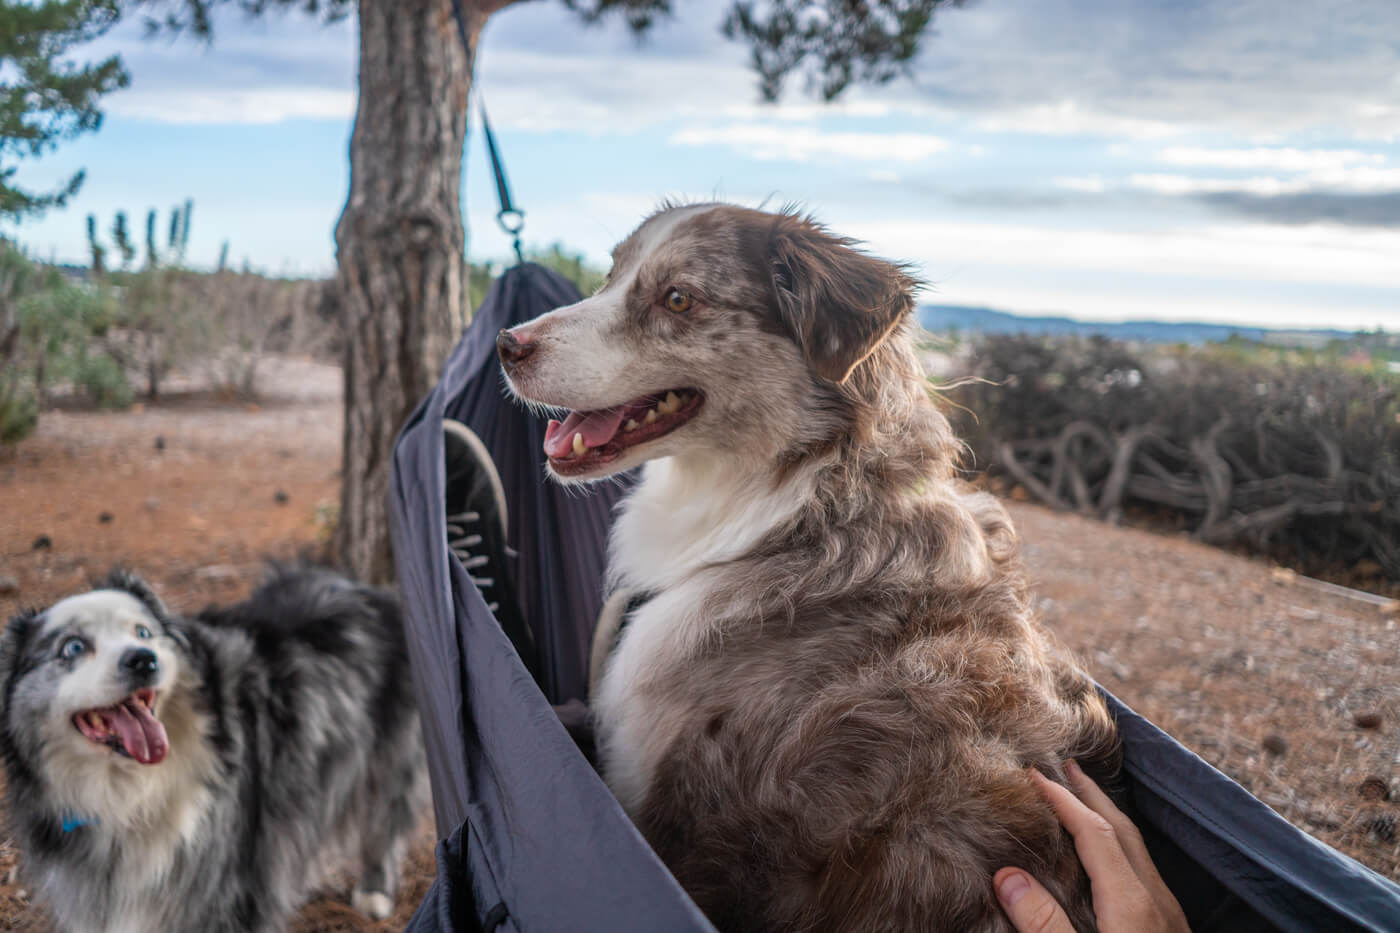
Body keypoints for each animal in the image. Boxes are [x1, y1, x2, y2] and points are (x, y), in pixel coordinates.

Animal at [0, 565, 425, 930]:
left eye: (143, 632)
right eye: (72, 648)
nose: (143, 660)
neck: (132, 792)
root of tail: (369, 590)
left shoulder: (237, 882)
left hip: (386, 760)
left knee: (383, 822)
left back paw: (374, 893)